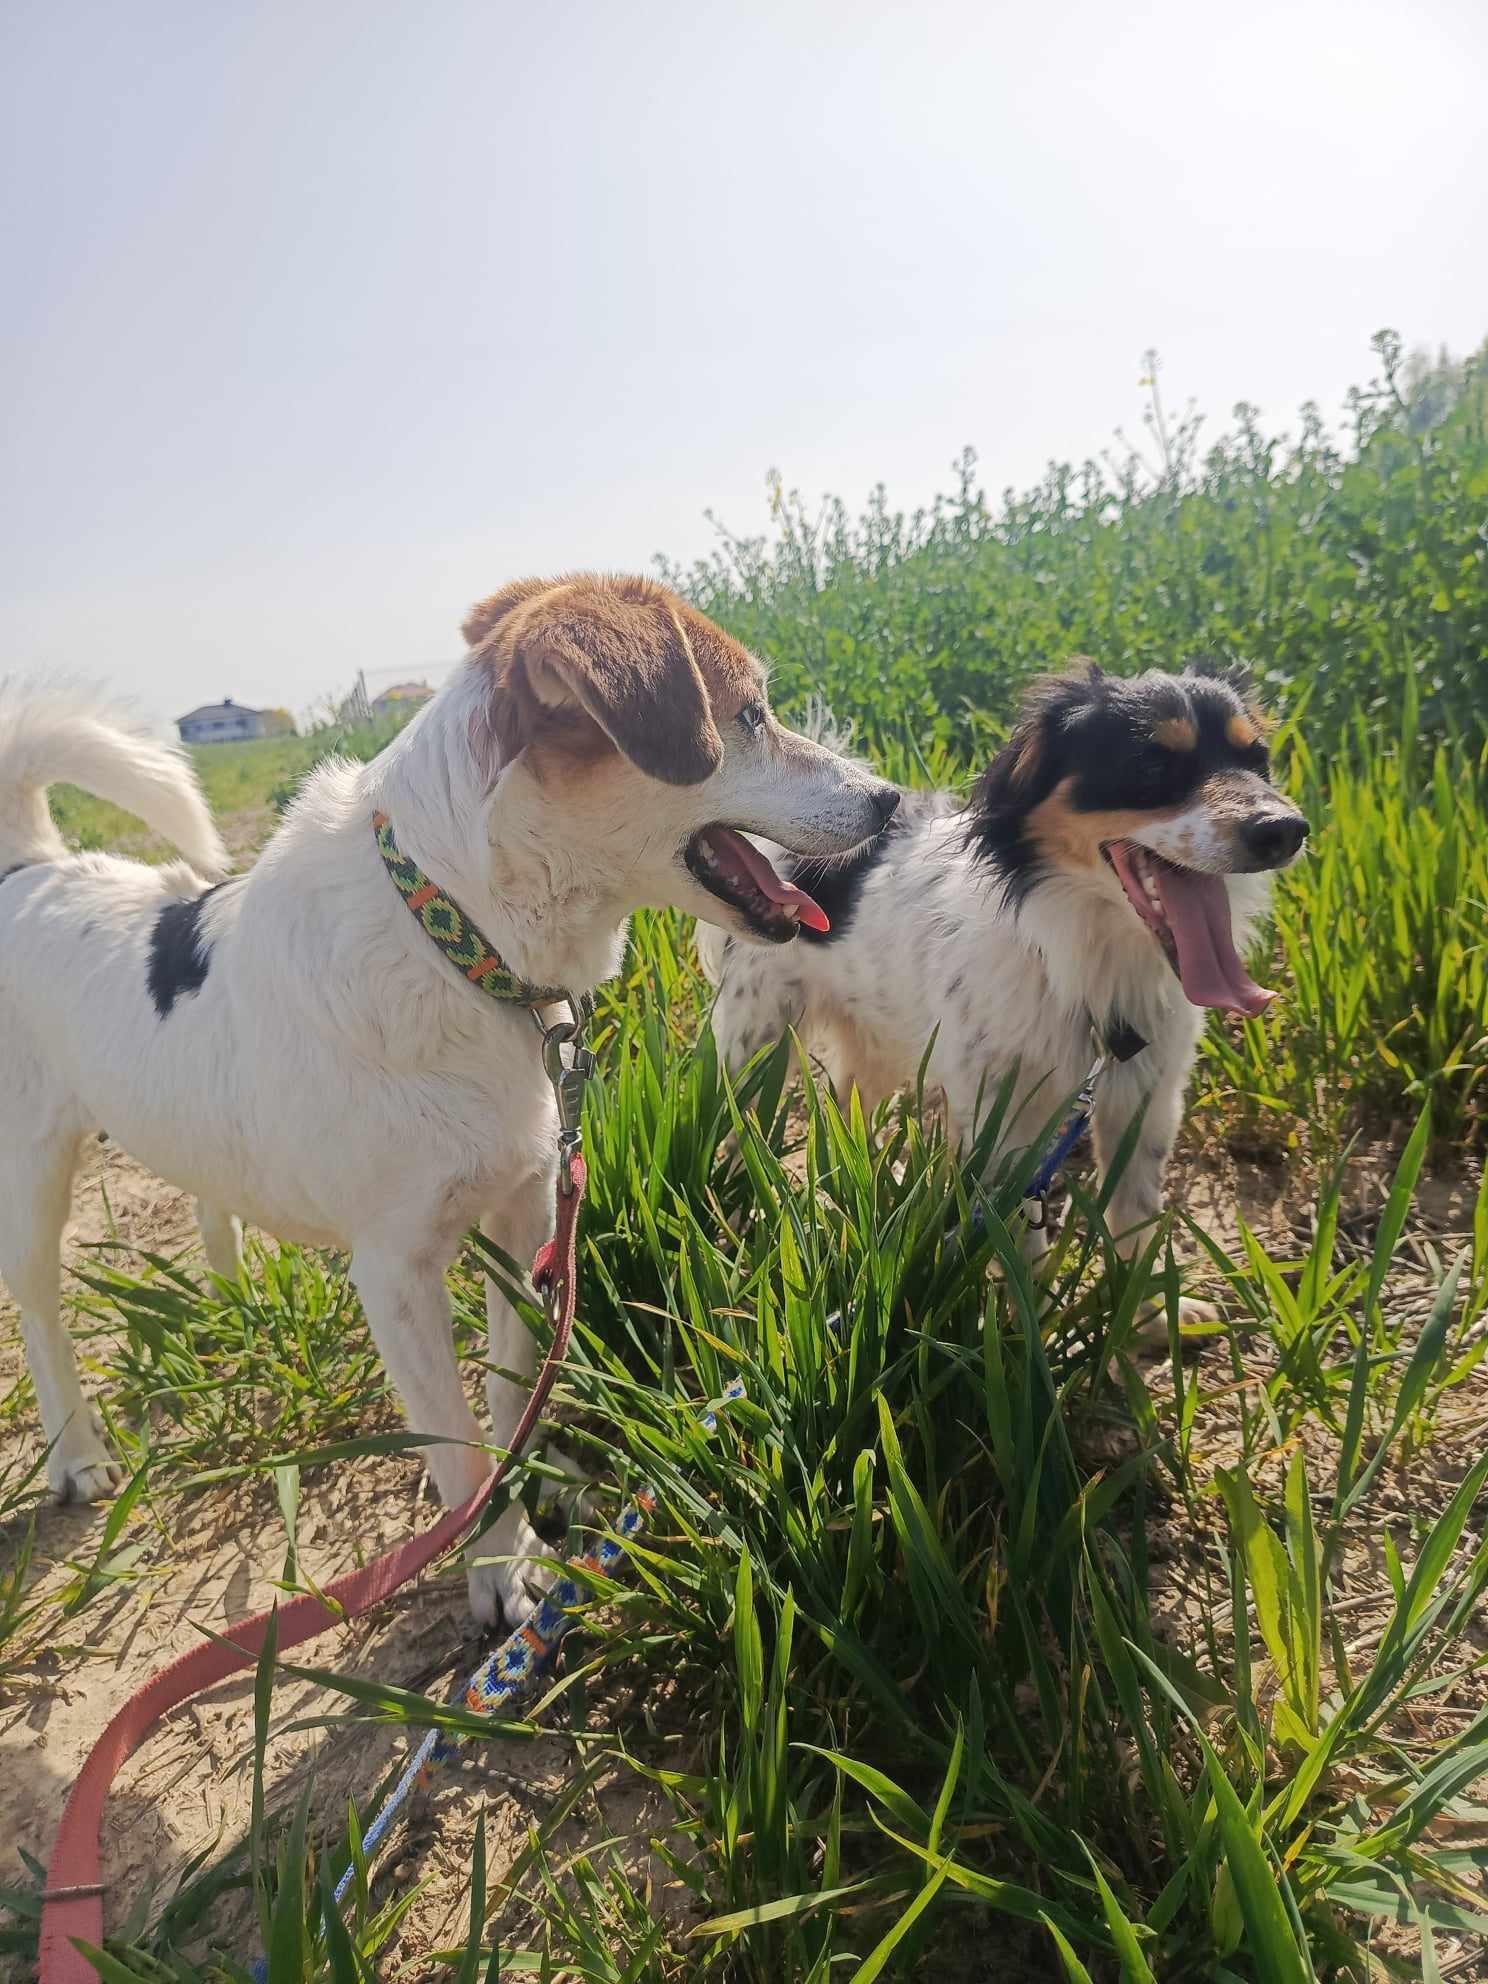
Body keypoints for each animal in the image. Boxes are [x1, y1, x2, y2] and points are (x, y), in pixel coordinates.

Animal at [0, 574, 898, 1625]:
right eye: (750, 714)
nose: (890, 799)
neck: (451, 936)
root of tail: (31, 868)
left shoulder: (521, 1210)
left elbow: (509, 1391)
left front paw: (533, 1497)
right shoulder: (395, 1275)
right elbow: (459, 1447)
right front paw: (500, 1567)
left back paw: (226, 1295)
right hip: (31, 1174)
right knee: (39, 1307)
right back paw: (76, 1452)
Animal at [700, 662, 1307, 1285]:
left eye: (1258, 759)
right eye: (1151, 764)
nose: (1285, 830)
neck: (1082, 957)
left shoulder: (1147, 1098)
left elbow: (1133, 1225)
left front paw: (1142, 1307)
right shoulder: (998, 1111)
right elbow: (1022, 1244)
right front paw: (1031, 1306)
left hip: (879, 1039)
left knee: (848, 1106)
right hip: (756, 1039)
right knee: (737, 1119)